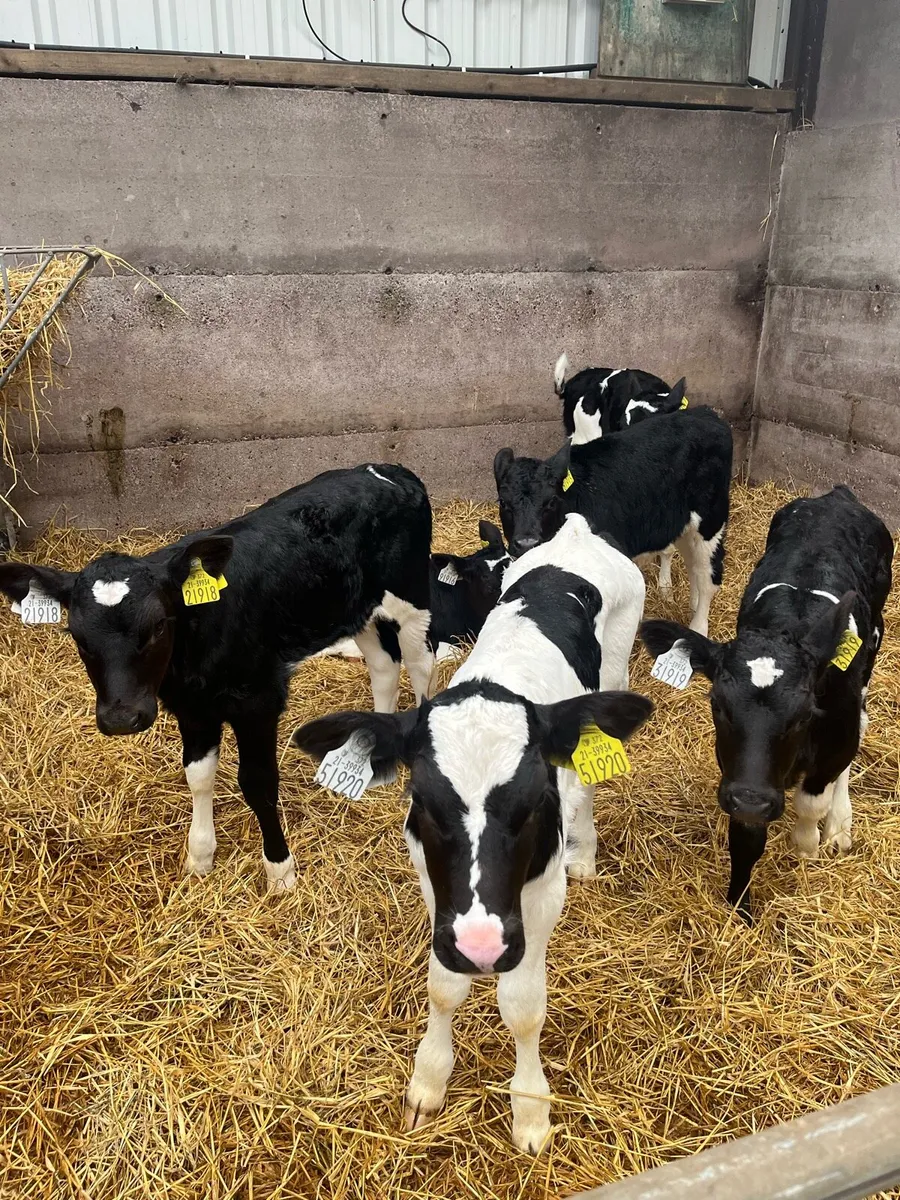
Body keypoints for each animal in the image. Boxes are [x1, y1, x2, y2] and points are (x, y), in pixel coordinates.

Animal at [0, 464, 435, 890]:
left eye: (157, 626)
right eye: (78, 636)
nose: (122, 718)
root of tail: (390, 470)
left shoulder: (258, 701)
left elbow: (258, 782)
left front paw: (280, 871)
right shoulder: (192, 709)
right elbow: (198, 776)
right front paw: (199, 856)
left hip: (411, 596)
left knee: (420, 663)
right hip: (356, 608)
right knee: (383, 665)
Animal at [292, 513, 652, 1152]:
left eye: (533, 803)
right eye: (423, 801)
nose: (481, 946)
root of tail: (577, 531)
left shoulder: (539, 897)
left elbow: (523, 1004)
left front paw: (530, 1110)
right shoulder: (435, 885)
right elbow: (443, 985)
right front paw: (429, 1080)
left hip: (615, 665)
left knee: (590, 776)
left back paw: (585, 851)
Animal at [493, 405, 733, 637]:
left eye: (551, 501)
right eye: (503, 502)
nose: (526, 543)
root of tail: (707, 414)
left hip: (711, 521)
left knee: (708, 576)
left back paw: (698, 626)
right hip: (682, 524)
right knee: (694, 565)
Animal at [640, 485, 893, 922]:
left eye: (804, 715)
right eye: (717, 705)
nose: (754, 801)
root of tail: (838, 494)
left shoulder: (833, 734)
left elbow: (812, 800)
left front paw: (808, 844)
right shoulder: (742, 774)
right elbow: (745, 837)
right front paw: (739, 908)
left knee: (860, 726)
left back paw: (839, 822)